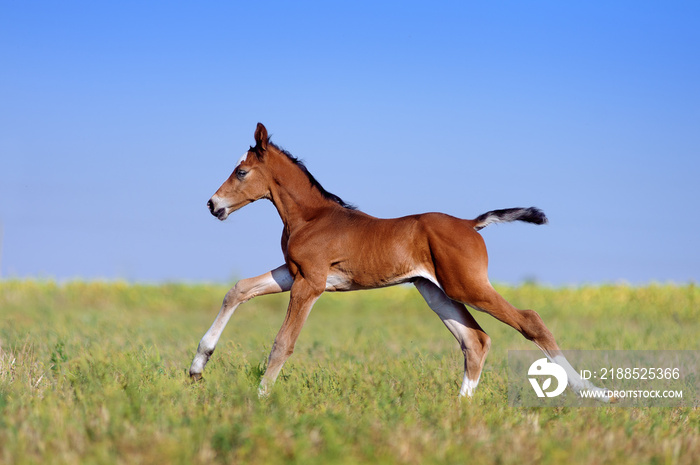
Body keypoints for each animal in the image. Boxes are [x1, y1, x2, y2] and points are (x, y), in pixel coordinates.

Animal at [189, 122, 608, 398]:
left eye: (241, 171)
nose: (212, 204)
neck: (311, 217)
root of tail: (471, 224)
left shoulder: (311, 283)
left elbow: (283, 342)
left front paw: (261, 398)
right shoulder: (294, 274)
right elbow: (238, 290)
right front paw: (197, 367)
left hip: (468, 286)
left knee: (529, 322)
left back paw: (595, 393)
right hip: (435, 291)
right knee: (476, 341)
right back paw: (460, 411)